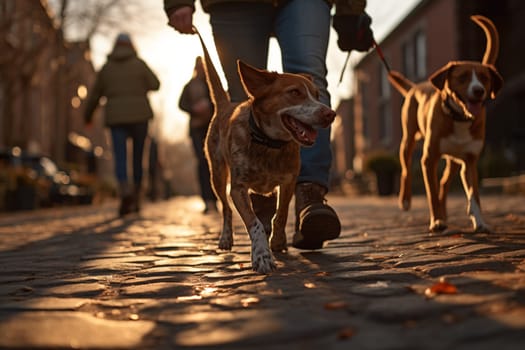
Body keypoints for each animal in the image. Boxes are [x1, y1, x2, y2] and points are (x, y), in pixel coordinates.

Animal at [193, 28, 336, 274]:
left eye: (318, 96)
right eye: (295, 92)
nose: (331, 114)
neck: (269, 144)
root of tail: (225, 105)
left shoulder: (288, 182)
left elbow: (281, 214)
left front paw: (277, 242)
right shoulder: (238, 189)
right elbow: (255, 223)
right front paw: (261, 255)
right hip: (217, 176)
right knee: (226, 209)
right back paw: (226, 238)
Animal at [386, 15, 502, 232]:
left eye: (484, 78)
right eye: (463, 77)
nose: (479, 91)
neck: (459, 118)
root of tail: (415, 87)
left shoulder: (470, 161)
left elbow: (474, 195)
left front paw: (480, 221)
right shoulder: (428, 159)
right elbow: (431, 194)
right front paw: (437, 220)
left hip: (455, 161)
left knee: (444, 182)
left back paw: (446, 211)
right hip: (407, 142)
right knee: (406, 170)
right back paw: (405, 200)